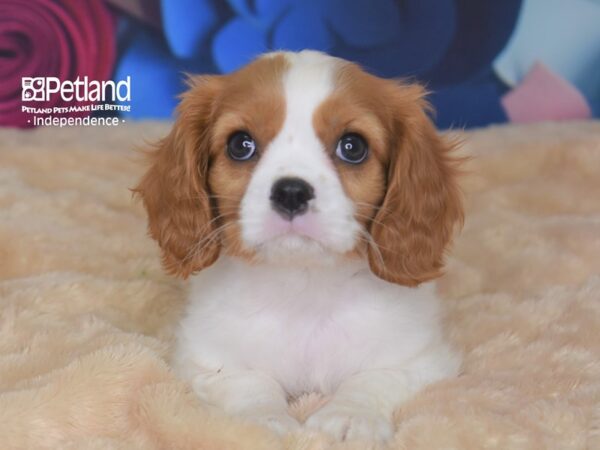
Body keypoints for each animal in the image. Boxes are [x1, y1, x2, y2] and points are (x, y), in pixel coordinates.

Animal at [135, 51, 464, 442]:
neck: (304, 286)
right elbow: (249, 383)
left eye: (352, 147)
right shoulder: (204, 359)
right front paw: (262, 419)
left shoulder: (422, 360)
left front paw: (350, 415)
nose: (291, 192)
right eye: (240, 144)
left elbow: (374, 378)